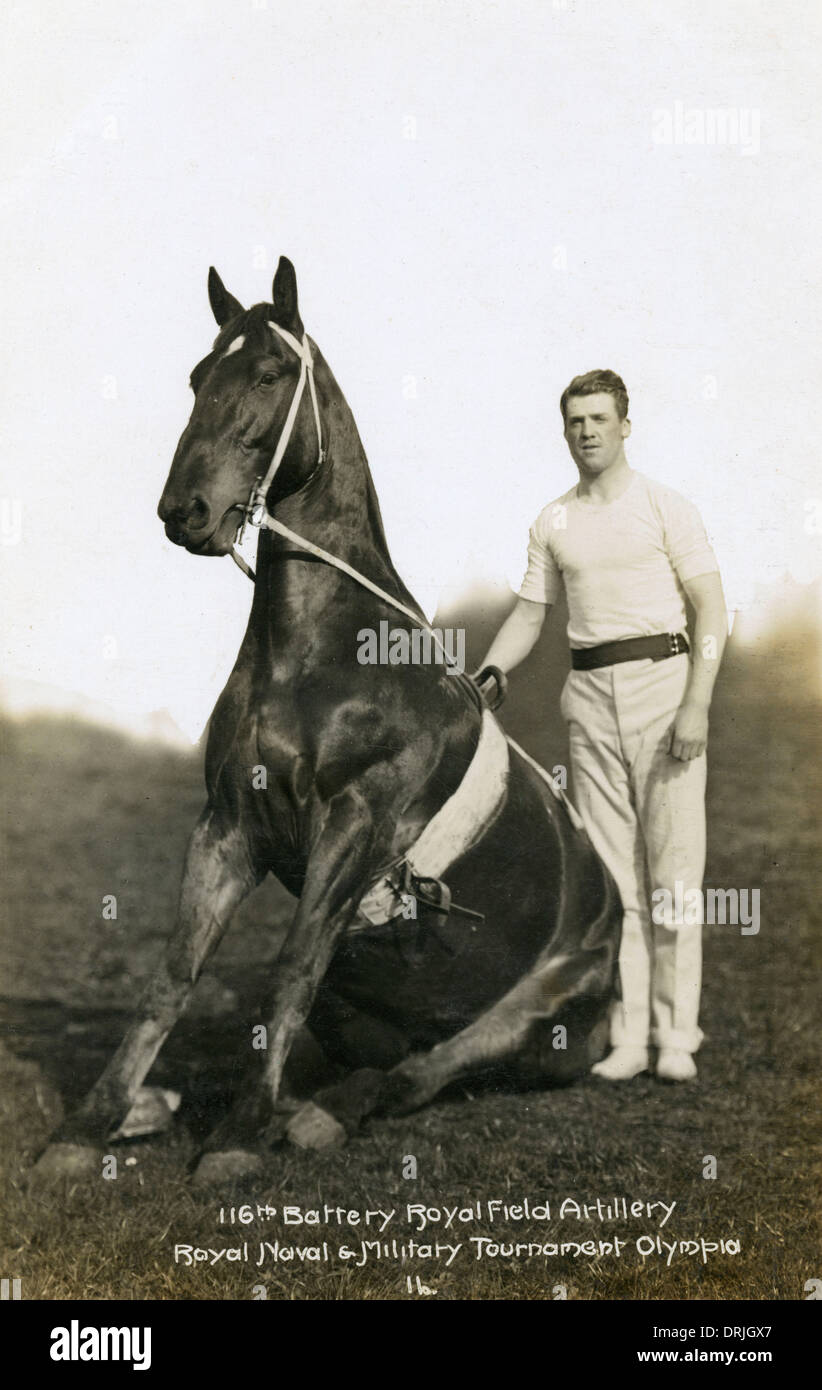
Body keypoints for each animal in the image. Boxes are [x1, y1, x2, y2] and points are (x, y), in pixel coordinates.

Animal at [36, 258, 621, 1183]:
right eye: (198, 378)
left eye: (270, 375)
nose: (184, 511)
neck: (321, 659)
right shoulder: (228, 826)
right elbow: (173, 975)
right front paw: (89, 1127)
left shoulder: (354, 827)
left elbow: (289, 971)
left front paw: (236, 1138)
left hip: (543, 1014)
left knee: (423, 1071)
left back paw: (314, 1116)